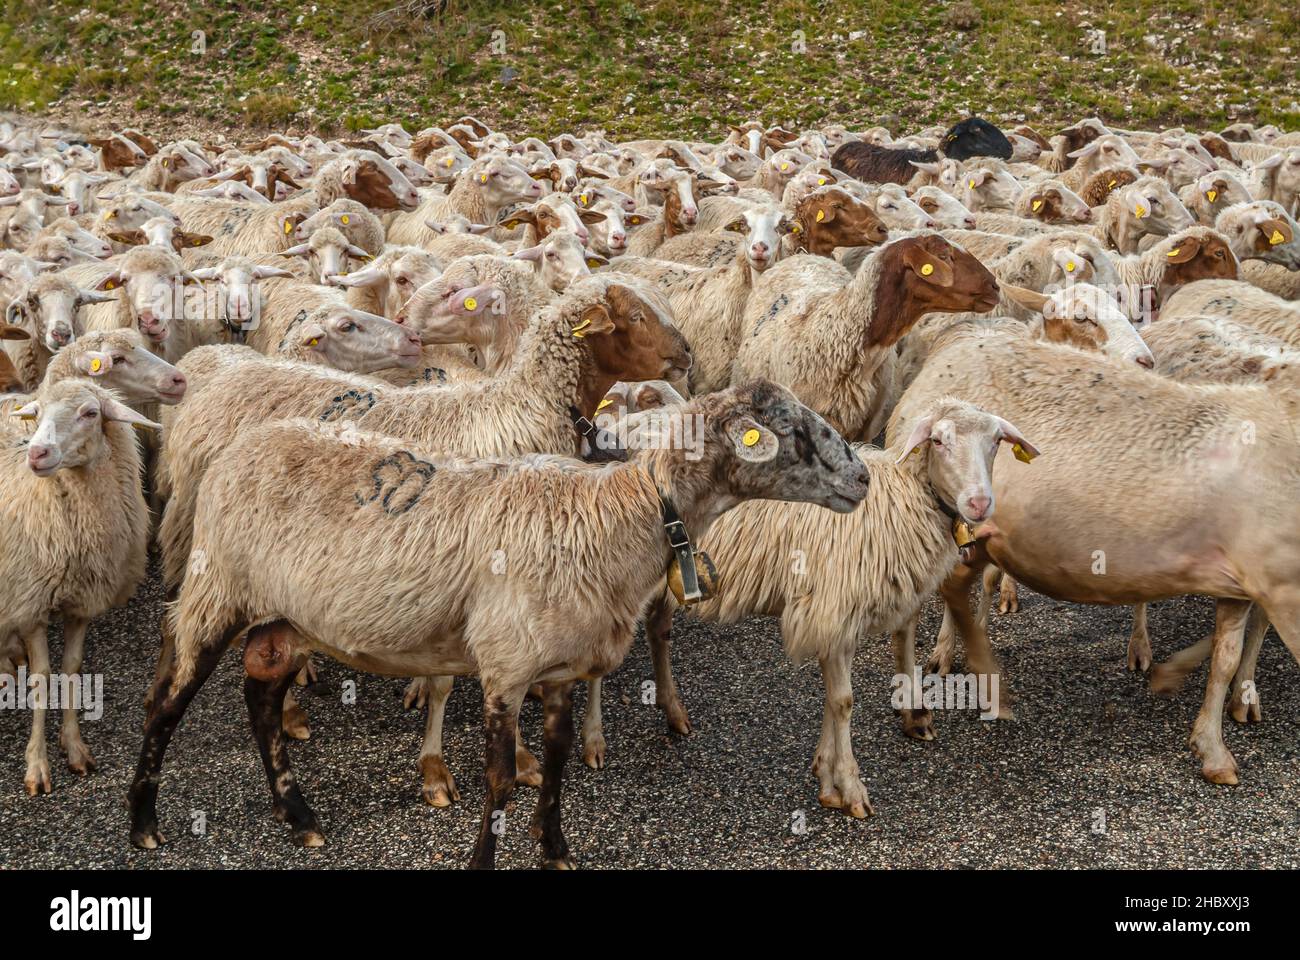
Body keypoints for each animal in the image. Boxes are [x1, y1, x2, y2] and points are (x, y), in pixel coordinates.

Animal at [1, 382, 159, 790]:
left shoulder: (82, 602)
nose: (37, 453)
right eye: (38, 412)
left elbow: (72, 667)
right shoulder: (31, 603)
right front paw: (37, 764)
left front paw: (73, 747)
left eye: (90, 413)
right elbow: (41, 677)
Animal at [126, 377, 868, 863]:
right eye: (791, 432)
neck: (618, 513)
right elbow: (501, 779)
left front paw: (556, 848)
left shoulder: (561, 668)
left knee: (260, 699)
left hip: (285, 618)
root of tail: (239, 448)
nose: (861, 479)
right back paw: (142, 823)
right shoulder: (507, 666)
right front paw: (488, 855)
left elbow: (559, 764)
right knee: (166, 702)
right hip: (217, 588)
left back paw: (298, 815)